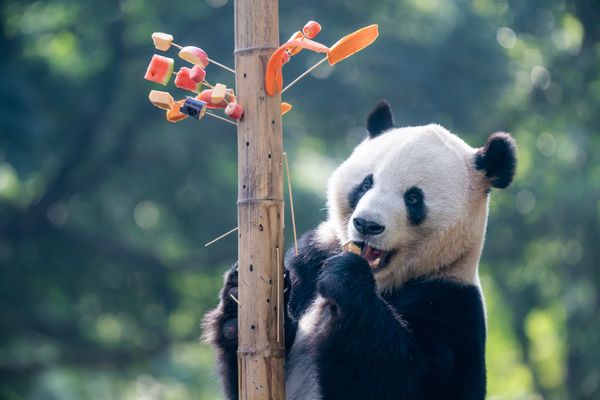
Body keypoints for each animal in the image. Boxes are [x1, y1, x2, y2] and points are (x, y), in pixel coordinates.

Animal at [204, 101, 516, 400]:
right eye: (366, 183)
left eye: (413, 198)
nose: (367, 224)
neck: (385, 281)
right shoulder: (313, 255)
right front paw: (236, 302)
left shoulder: (452, 303)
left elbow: (408, 380)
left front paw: (345, 278)